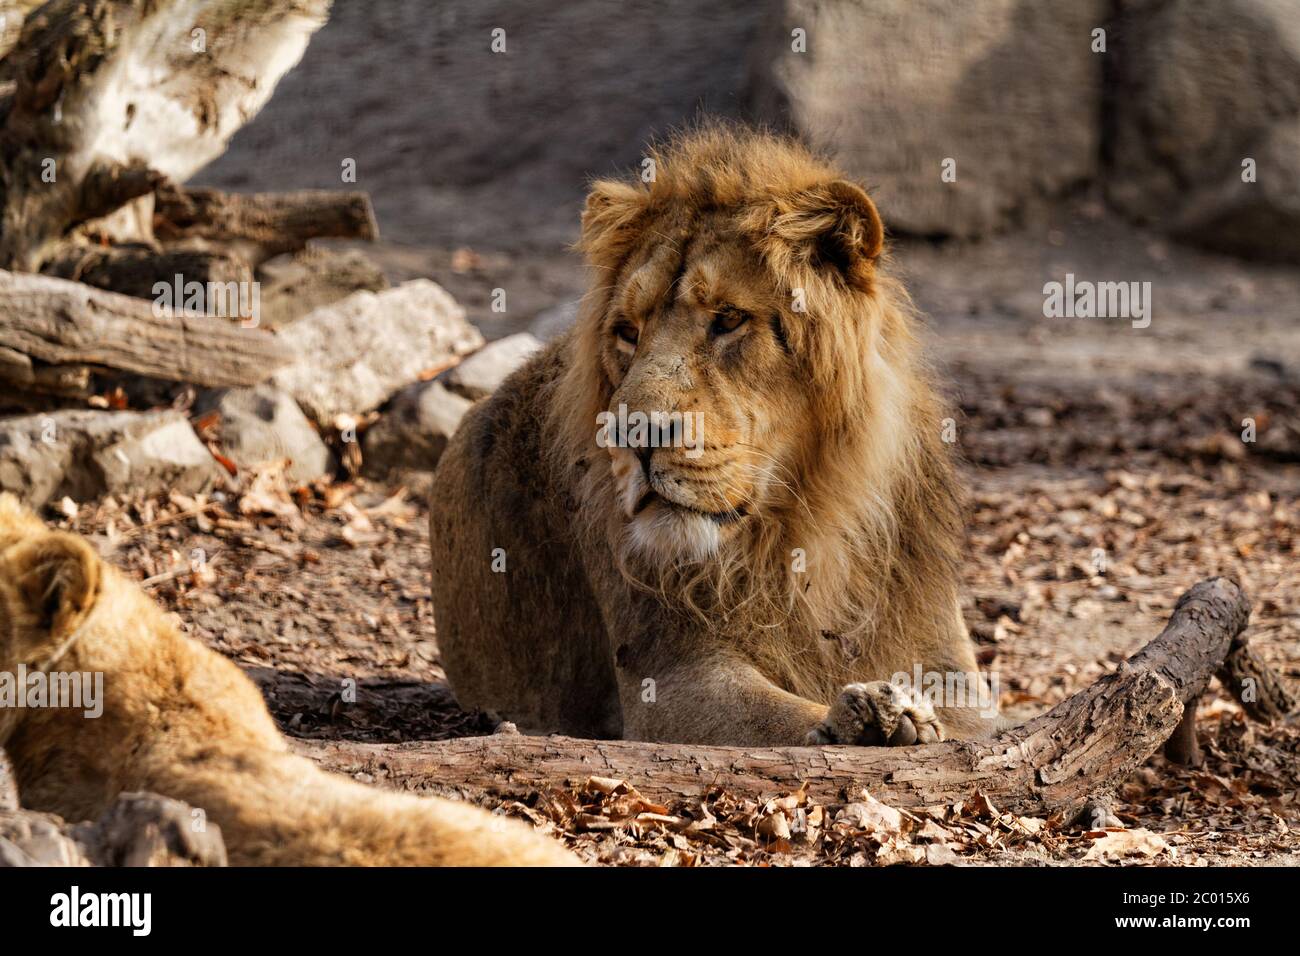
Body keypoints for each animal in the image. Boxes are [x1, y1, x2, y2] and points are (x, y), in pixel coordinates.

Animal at [428, 125, 998, 749]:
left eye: (728, 319)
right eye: (627, 332)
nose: (630, 433)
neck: (804, 535)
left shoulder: (952, 671)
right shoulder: (671, 680)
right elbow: (784, 720)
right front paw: (863, 719)